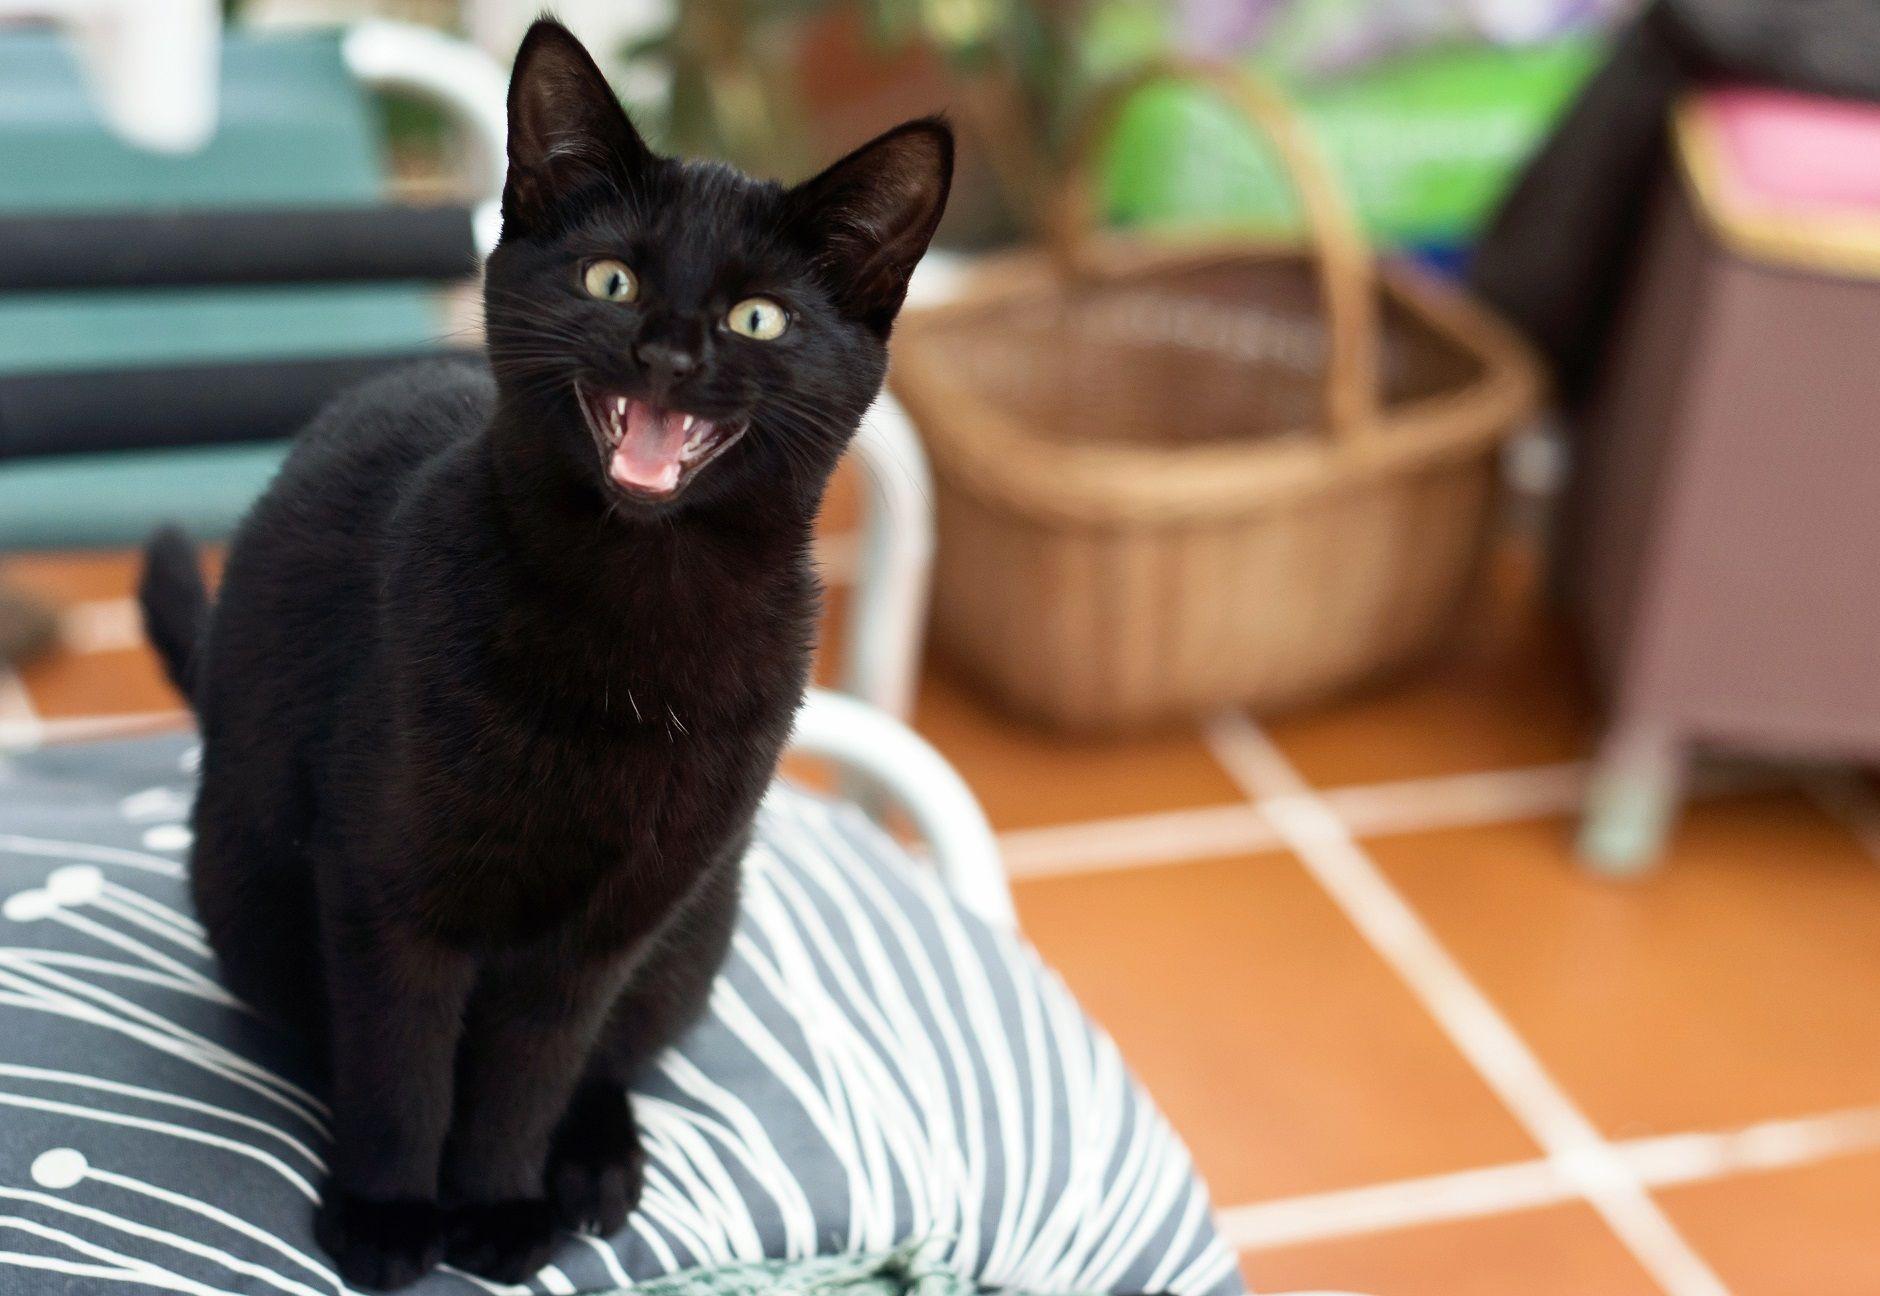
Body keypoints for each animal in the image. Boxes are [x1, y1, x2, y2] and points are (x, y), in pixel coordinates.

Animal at [137, 17, 947, 1286]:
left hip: (698, 921)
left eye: (757, 318)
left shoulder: (601, 934)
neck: (636, 622)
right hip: (241, 879)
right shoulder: (387, 891)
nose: (665, 353)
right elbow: (400, 1067)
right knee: (325, 1029)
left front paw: (504, 1206)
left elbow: (530, 1073)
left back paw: (597, 1164)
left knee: (611, 1061)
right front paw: (390, 1214)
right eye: (609, 279)